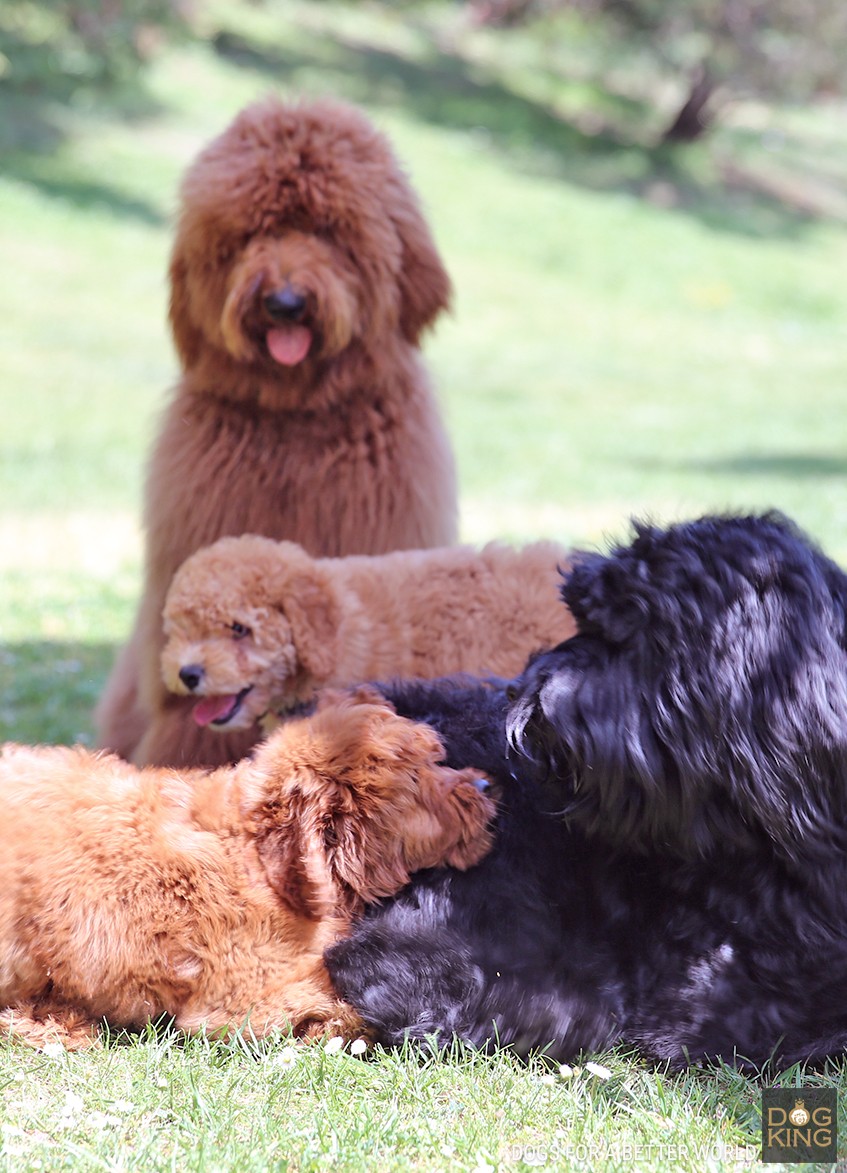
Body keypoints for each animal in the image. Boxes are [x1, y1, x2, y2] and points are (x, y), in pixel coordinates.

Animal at [0, 689, 492, 1051]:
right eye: (418, 780)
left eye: (436, 759)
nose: (487, 784)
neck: (261, 858)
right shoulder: (237, 999)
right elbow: (338, 998)